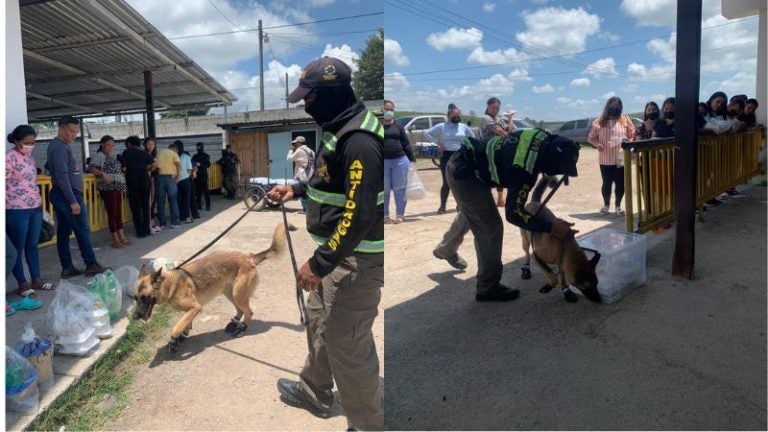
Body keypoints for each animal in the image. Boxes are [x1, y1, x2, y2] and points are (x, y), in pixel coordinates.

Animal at [134, 223, 292, 352]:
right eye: (135, 298)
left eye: (145, 298)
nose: (135, 317)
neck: (170, 284)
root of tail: (249, 257)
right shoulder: (191, 309)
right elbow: (185, 323)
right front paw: (183, 335)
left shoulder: (195, 307)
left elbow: (176, 326)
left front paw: (174, 340)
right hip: (230, 292)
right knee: (240, 309)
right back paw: (234, 322)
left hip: (238, 293)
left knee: (249, 312)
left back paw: (242, 329)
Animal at [520, 176, 604, 304]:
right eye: (589, 287)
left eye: (597, 284)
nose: (600, 300)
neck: (565, 247)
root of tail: (535, 202)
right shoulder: (537, 257)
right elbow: (553, 277)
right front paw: (549, 286)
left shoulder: (562, 264)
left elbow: (562, 278)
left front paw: (566, 291)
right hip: (525, 241)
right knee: (526, 254)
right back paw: (526, 268)